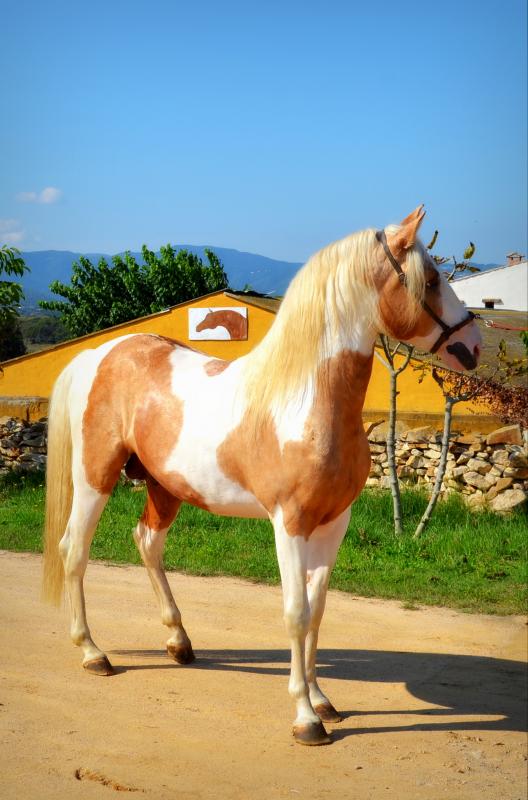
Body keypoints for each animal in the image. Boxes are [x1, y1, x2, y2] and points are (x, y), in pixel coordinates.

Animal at [42, 206, 481, 746]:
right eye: (433, 279)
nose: (474, 344)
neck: (306, 400)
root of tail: (97, 355)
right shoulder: (288, 524)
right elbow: (295, 612)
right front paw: (306, 718)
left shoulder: (333, 523)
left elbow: (317, 610)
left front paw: (322, 699)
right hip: (94, 477)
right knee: (74, 551)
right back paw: (92, 652)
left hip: (165, 487)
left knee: (147, 542)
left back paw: (179, 642)